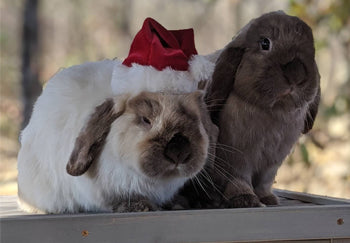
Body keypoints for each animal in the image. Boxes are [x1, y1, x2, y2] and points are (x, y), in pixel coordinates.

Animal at [180, 11, 320, 209]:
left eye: (312, 50)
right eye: (265, 43)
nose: (297, 74)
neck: (273, 111)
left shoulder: (272, 163)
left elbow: (264, 183)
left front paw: (268, 199)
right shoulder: (237, 157)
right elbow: (238, 179)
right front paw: (246, 199)